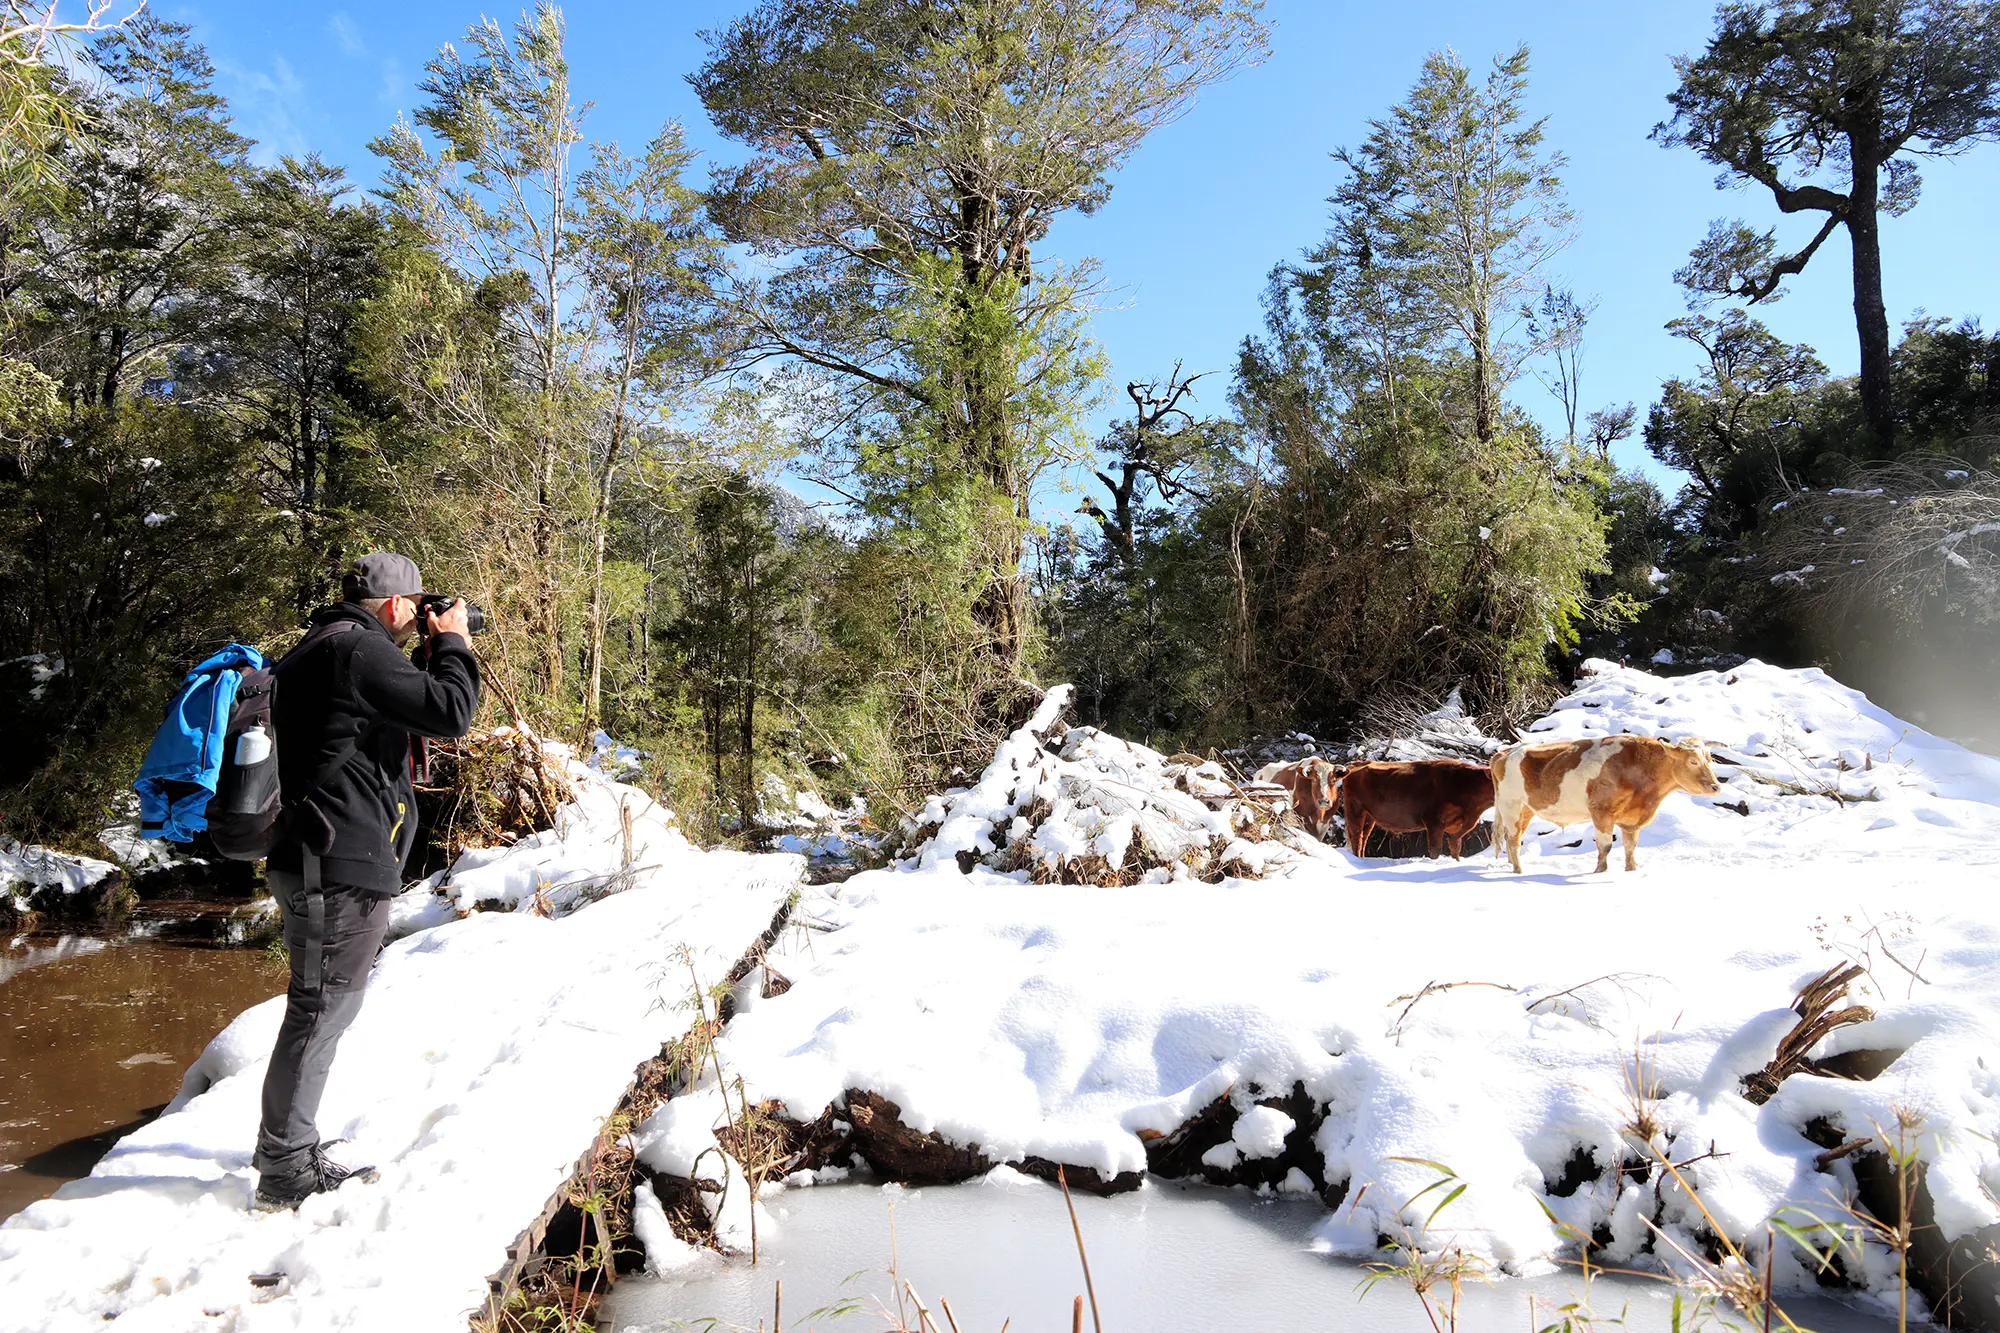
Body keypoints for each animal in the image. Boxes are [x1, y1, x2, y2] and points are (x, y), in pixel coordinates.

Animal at [1344, 752, 1488, 856]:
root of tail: (1358, 763)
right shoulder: (1433, 822)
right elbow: (1435, 851)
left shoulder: (1456, 828)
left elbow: (1456, 850)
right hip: (1354, 810)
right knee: (1357, 837)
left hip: (1369, 816)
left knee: (1364, 838)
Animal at [1496, 728, 1728, 872]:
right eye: (1693, 761)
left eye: (1709, 759)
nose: (1716, 787)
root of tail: (1505, 752)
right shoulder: (1601, 812)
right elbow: (1605, 846)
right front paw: (1600, 872)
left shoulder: (1631, 821)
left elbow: (1630, 847)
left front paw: (1632, 869)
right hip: (1511, 806)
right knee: (1514, 841)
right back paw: (1519, 871)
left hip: (1526, 809)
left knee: (1510, 838)